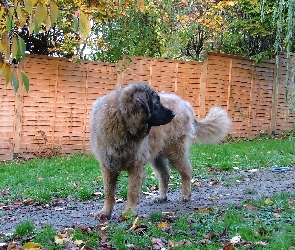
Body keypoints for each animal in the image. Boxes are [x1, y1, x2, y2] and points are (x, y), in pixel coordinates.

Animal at [90, 82, 231, 221]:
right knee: (164, 174)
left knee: (186, 171)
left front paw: (128, 212)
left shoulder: (136, 166)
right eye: (156, 103)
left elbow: (132, 191)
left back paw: (186, 195)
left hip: (175, 152)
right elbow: (108, 192)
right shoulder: (107, 165)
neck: (123, 121)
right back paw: (162, 197)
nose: (173, 114)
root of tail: (185, 103)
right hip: (157, 156)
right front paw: (105, 212)